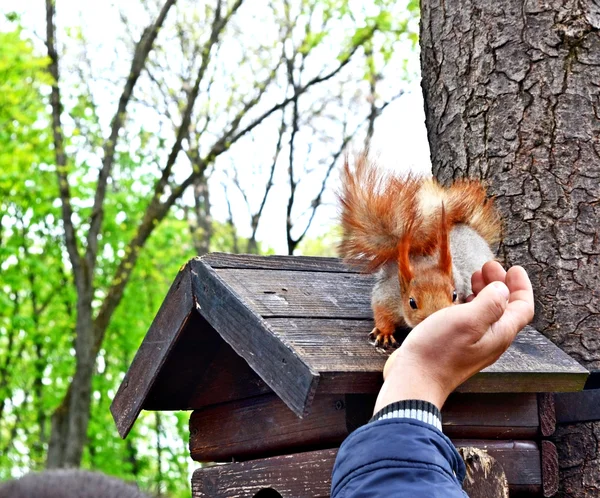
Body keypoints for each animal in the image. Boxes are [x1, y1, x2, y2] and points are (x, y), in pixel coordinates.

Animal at [338, 155, 502, 346]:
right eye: (412, 302)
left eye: (454, 295)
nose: (438, 324)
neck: (422, 265)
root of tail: (469, 228)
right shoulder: (388, 294)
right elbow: (381, 311)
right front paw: (384, 332)